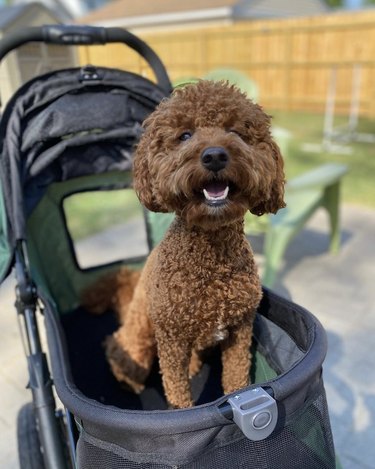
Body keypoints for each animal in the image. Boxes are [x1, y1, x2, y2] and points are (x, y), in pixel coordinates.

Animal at [84, 80, 284, 406]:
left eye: (236, 132)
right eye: (185, 135)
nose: (214, 156)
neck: (212, 260)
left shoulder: (239, 329)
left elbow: (236, 379)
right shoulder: (172, 338)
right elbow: (177, 391)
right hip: (141, 336)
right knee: (119, 347)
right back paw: (127, 378)